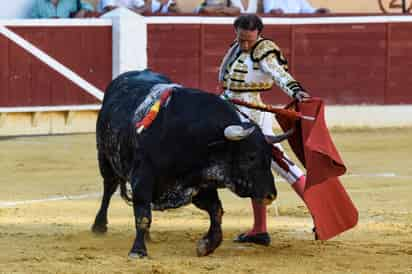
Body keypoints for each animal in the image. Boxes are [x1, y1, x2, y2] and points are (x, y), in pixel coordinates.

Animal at [91, 69, 284, 258]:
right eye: (251, 157)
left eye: (270, 157)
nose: (270, 195)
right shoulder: (142, 179)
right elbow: (143, 216)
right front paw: (138, 251)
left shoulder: (200, 183)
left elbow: (216, 211)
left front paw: (207, 245)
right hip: (105, 158)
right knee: (109, 188)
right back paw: (99, 226)